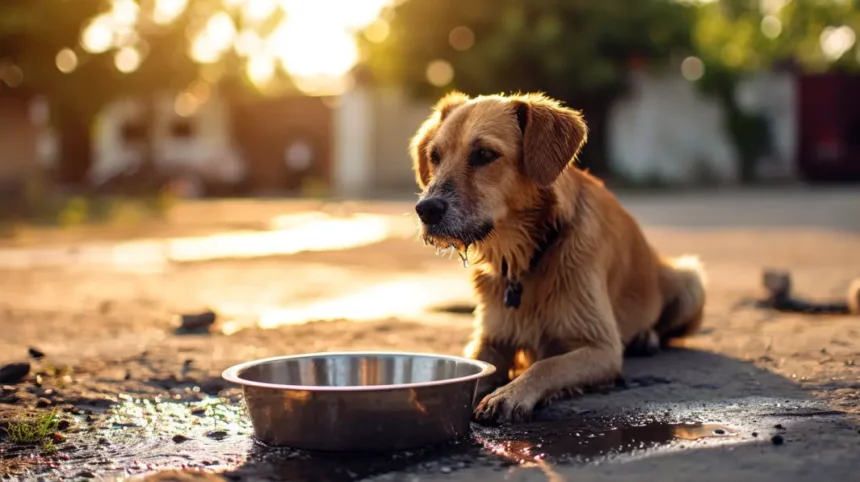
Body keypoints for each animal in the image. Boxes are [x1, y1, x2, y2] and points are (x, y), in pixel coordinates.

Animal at [410, 90, 704, 422]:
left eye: (484, 154)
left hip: (690, 279)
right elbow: (479, 366)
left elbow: (547, 364)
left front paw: (511, 393)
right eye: (435, 157)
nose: (426, 210)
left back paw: (646, 338)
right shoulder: (490, 339)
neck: (526, 258)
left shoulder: (602, 349)